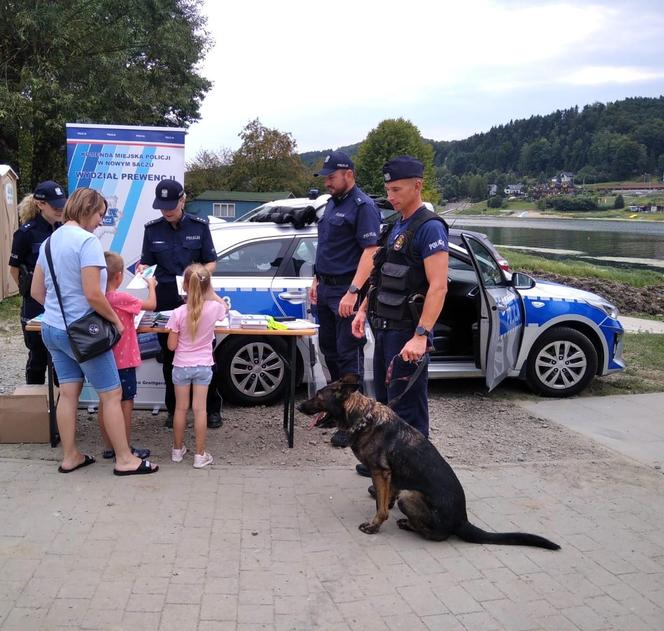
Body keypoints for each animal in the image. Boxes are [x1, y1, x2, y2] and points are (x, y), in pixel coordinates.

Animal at [300, 378, 560, 552]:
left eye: (318, 395)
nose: (300, 406)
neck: (363, 418)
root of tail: (462, 519)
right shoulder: (391, 476)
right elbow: (387, 497)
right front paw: (385, 503)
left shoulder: (380, 472)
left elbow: (382, 509)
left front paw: (374, 525)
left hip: (411, 496)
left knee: (436, 535)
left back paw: (409, 524)